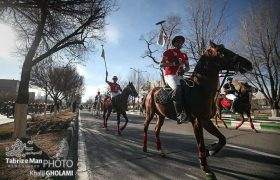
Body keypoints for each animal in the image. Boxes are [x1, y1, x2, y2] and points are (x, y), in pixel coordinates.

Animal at [142, 41, 254, 179]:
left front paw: (210, 151)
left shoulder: (206, 120)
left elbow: (222, 139)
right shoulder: (197, 121)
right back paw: (144, 148)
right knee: (146, 127)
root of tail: (150, 91)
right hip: (149, 113)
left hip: (161, 115)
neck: (201, 88)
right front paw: (206, 169)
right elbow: (200, 145)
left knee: (157, 130)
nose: (248, 64)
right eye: (223, 52)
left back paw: (161, 151)